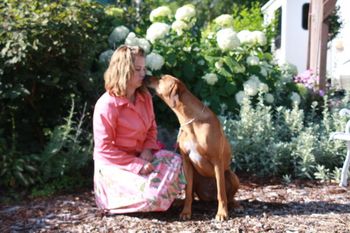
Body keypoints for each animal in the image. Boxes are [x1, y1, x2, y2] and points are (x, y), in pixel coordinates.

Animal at [146, 74, 239, 220]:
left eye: (161, 78)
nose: (146, 76)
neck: (190, 121)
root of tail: (208, 198)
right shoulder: (186, 162)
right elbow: (188, 191)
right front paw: (186, 212)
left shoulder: (217, 161)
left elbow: (221, 192)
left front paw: (222, 213)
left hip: (231, 175)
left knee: (228, 195)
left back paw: (234, 204)